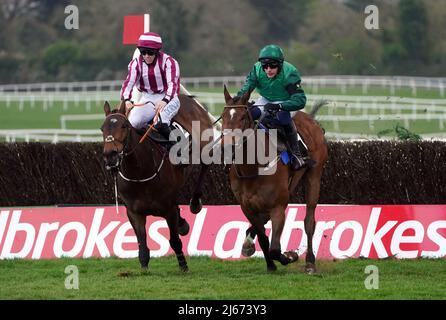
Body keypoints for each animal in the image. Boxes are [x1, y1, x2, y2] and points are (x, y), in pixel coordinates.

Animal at [102, 95, 213, 272]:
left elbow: (174, 240)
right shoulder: (134, 211)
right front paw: (143, 265)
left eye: (124, 126)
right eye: (102, 128)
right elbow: (142, 243)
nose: (110, 156)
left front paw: (183, 265)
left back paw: (195, 203)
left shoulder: (168, 209)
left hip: (205, 145)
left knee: (204, 166)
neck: (140, 172)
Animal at [220, 86, 328, 274]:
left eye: (242, 117)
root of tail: (311, 119)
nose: (227, 147)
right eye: (223, 116)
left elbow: (275, 249)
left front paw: (290, 256)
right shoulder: (246, 206)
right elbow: (263, 237)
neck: (253, 167)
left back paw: (310, 262)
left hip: (314, 176)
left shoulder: (278, 206)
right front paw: (269, 264)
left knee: (309, 221)